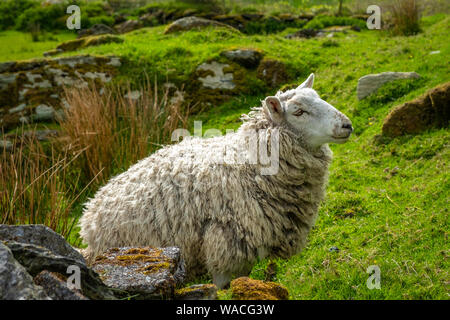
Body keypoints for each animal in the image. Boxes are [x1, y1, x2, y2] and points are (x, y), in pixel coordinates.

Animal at [79, 74, 354, 288]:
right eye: (299, 111)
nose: (347, 125)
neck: (250, 166)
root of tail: (91, 210)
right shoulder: (224, 247)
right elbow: (223, 287)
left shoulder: (246, 249)